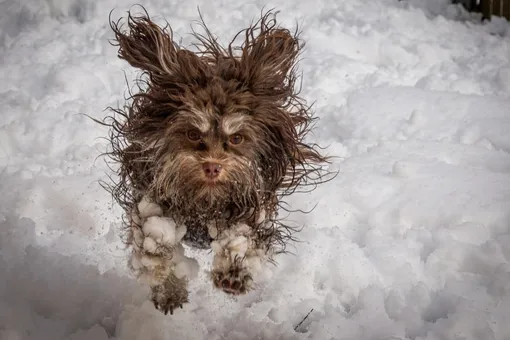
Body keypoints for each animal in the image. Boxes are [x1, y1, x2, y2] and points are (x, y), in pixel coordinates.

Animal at [99, 7, 330, 316]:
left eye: (237, 138)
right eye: (193, 133)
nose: (212, 166)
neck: (205, 202)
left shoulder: (252, 209)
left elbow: (243, 239)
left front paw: (233, 273)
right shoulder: (150, 201)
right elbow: (154, 244)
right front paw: (168, 287)